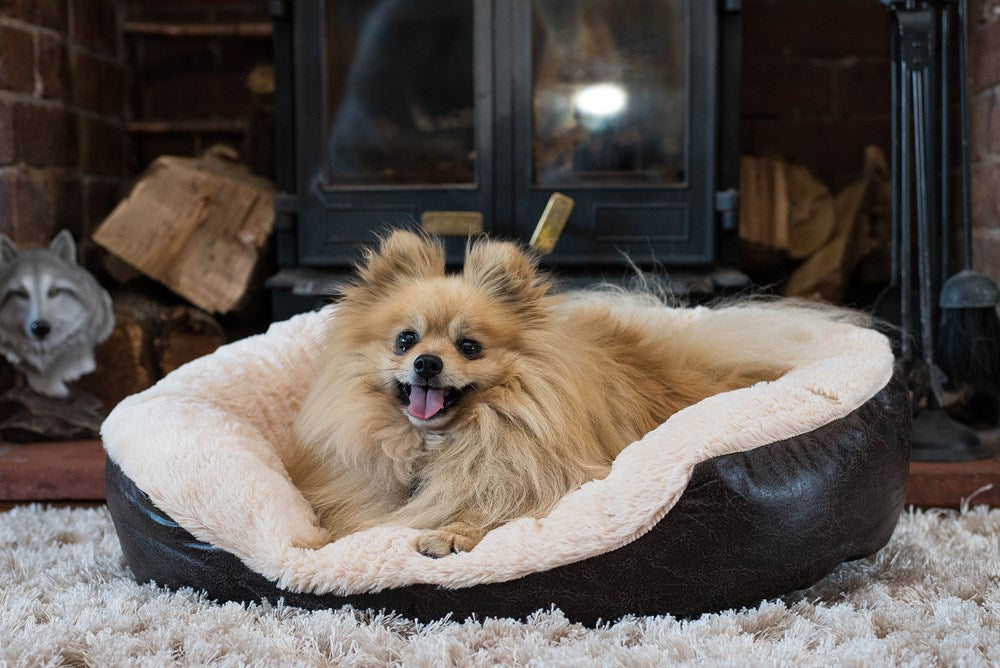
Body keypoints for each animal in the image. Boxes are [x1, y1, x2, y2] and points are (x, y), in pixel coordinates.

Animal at [292, 232, 784, 556]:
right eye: (405, 340)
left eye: (468, 346)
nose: (427, 363)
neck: (435, 445)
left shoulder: (542, 479)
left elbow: (493, 506)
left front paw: (452, 532)